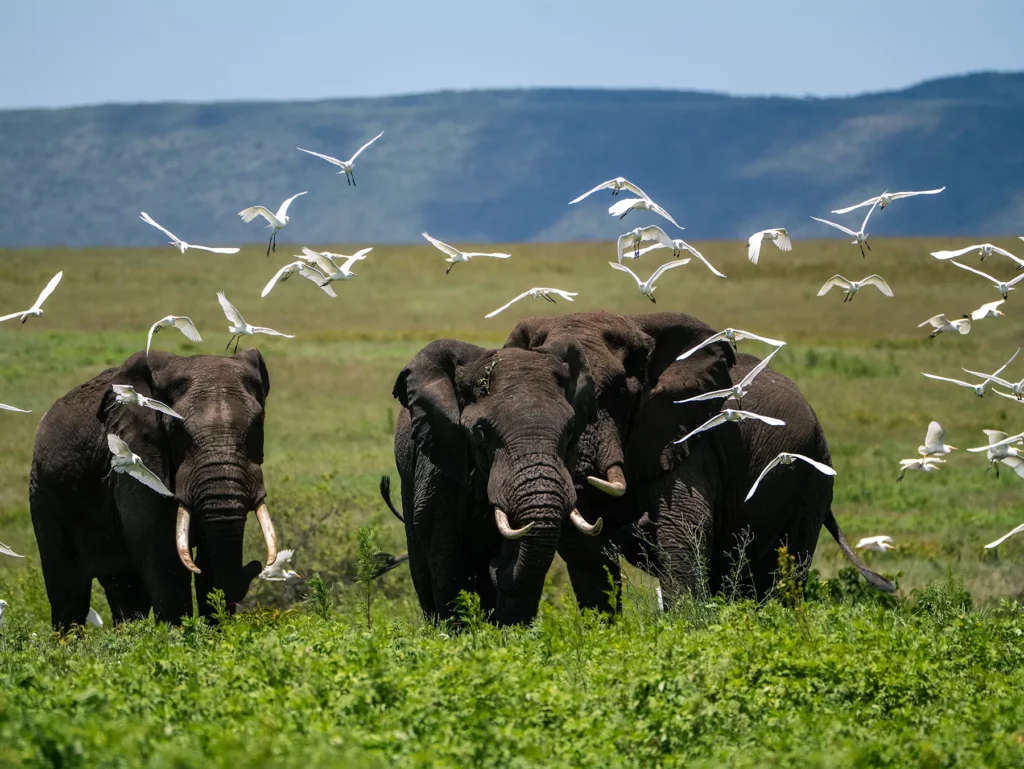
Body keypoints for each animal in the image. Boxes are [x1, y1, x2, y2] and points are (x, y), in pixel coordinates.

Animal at [29, 349, 279, 631]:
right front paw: (178, 634)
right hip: (45, 493)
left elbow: (209, 551)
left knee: (127, 591)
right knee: (68, 593)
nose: (257, 565)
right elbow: (159, 544)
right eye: (175, 428)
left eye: (258, 423)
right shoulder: (139, 449)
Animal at [387, 337, 601, 626]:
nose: (494, 565)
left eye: (569, 431)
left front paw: (511, 632)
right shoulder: (440, 464)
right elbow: (446, 560)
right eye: (482, 432)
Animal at [503, 311, 894, 611]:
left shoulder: (688, 436)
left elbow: (681, 533)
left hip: (811, 477)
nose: (639, 523)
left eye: (621, 393)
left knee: (784, 567)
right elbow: (585, 554)